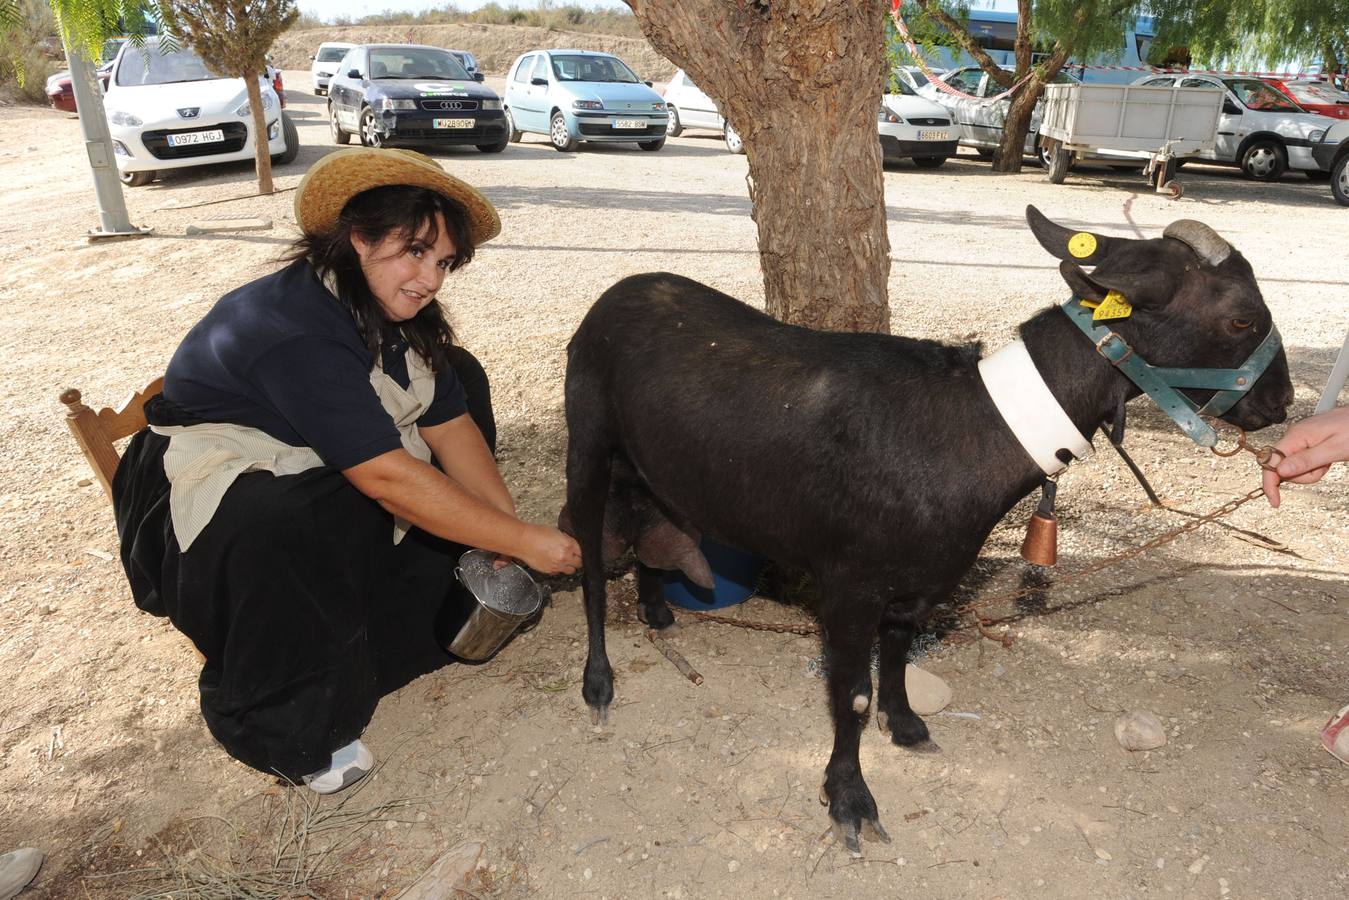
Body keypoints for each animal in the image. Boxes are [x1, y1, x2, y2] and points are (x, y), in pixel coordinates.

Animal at [561, 203, 1295, 852]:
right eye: (1242, 316)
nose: (1281, 402)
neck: (974, 425)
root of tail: (620, 289)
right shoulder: (847, 582)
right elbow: (852, 695)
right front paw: (850, 802)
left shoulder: (921, 576)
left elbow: (899, 649)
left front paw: (908, 726)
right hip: (587, 435)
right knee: (589, 561)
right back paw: (597, 685)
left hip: (653, 463)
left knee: (647, 516)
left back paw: (658, 610)